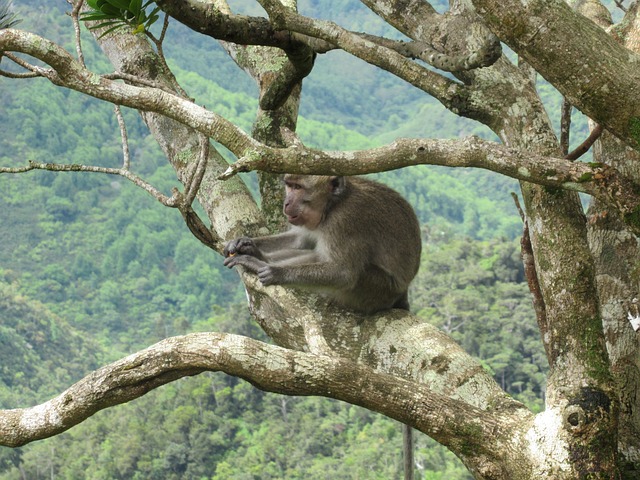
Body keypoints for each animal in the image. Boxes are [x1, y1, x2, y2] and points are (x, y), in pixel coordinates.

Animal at [222, 172, 422, 316]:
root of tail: (403, 291)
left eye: (298, 187)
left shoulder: (345, 221)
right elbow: (300, 240)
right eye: (289, 185)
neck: (333, 205)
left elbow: (343, 273)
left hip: (377, 291)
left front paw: (271, 270)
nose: (286, 203)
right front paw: (247, 244)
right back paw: (258, 255)